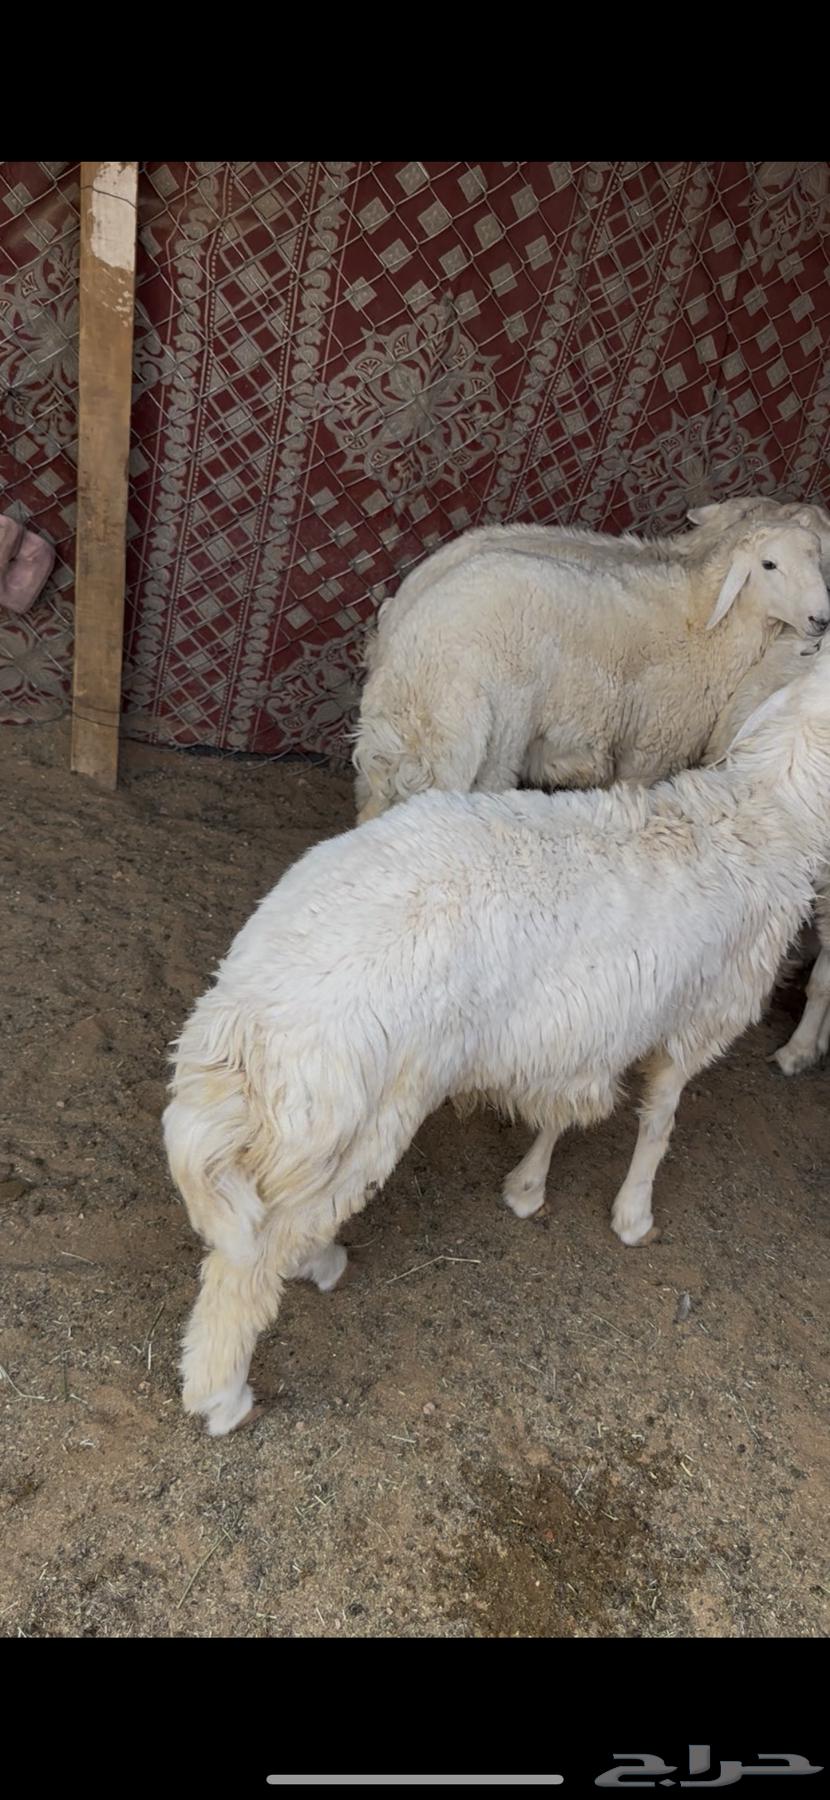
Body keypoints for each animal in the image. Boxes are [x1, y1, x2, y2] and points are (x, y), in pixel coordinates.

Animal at [164, 651, 830, 1434]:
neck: (763, 812)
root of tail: (243, 1024)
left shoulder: (580, 1029)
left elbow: (562, 1114)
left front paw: (527, 1187)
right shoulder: (700, 1017)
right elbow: (659, 1121)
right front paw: (633, 1216)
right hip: (360, 1116)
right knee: (251, 1265)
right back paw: (227, 1392)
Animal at [353, 513, 829, 822]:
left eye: (818, 560)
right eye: (769, 564)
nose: (821, 619)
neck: (703, 621)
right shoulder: (651, 750)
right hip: (491, 744)